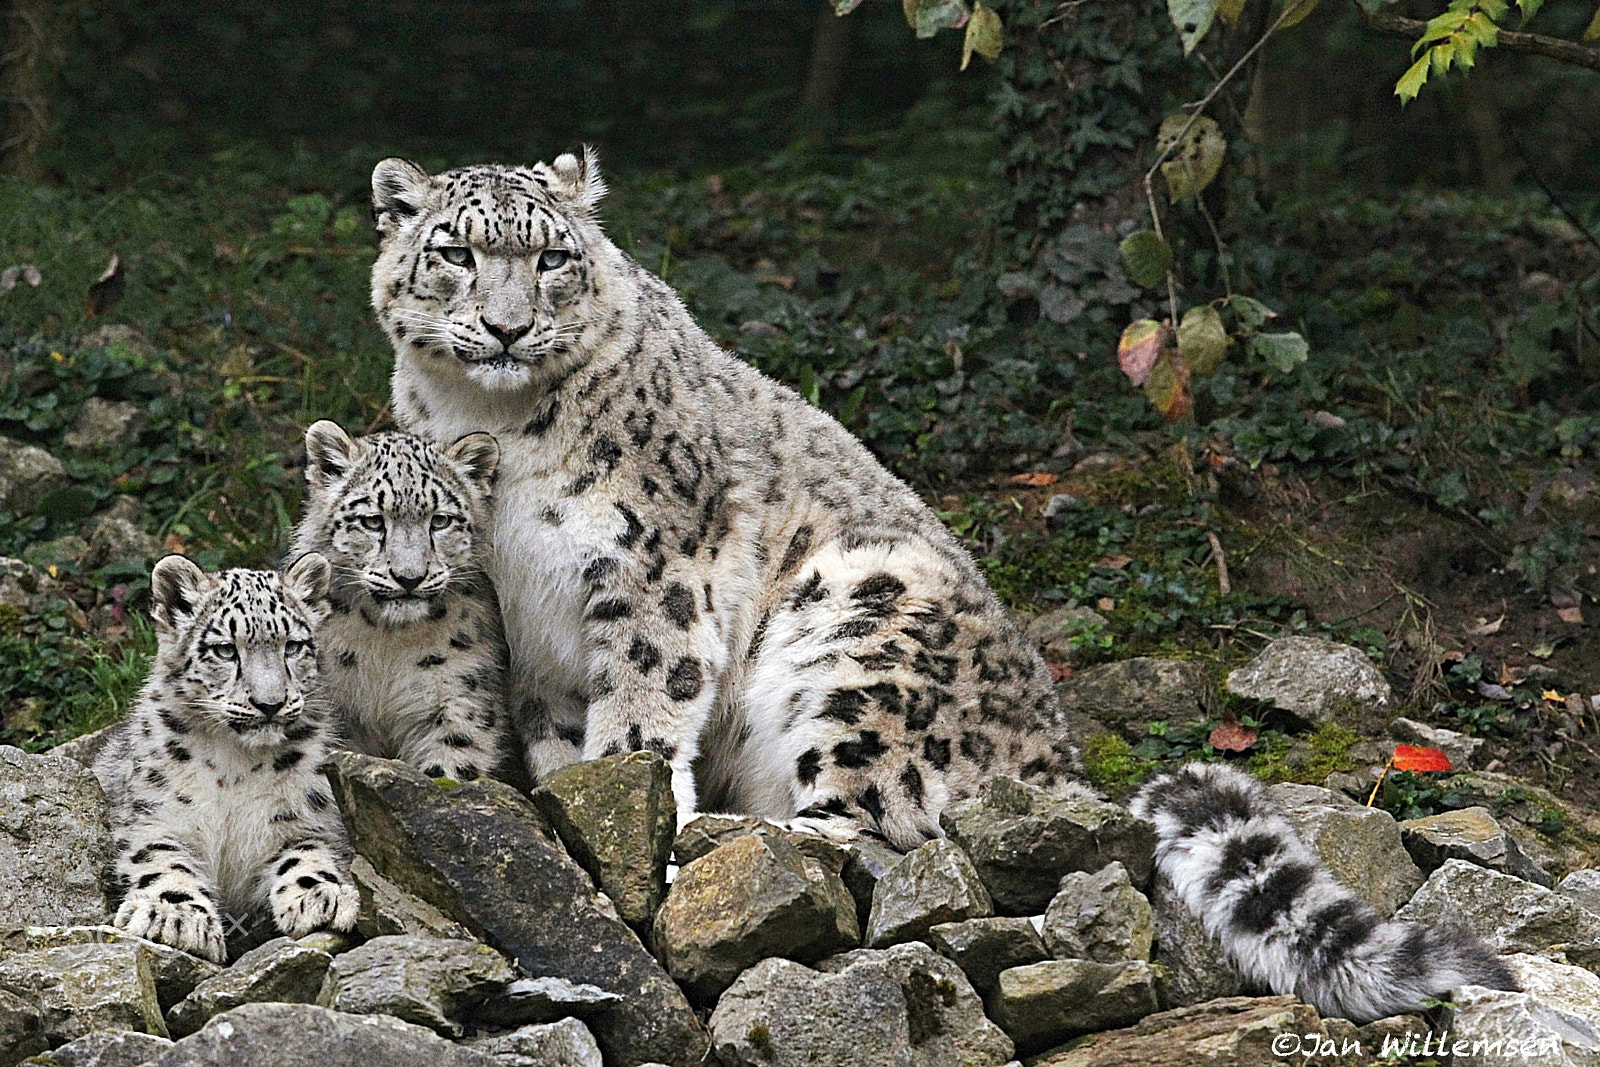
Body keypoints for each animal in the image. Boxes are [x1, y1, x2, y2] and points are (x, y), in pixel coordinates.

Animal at [93, 556, 360, 966]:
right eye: (224, 650)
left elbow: (307, 854)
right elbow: (162, 861)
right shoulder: (155, 817)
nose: (270, 703)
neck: (235, 764)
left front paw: (320, 896)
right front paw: (175, 916)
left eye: (293, 646)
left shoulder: (309, 815)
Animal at [289, 419, 512, 783]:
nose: (409, 577)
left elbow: (451, 764)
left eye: (440, 520)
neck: (385, 644)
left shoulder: (458, 697)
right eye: (372, 520)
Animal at [368, 147, 1516, 1017]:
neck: (495, 429)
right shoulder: (533, 629)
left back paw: (737, 842)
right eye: (456, 253)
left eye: (554, 257)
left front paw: (625, 804)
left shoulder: (656, 572)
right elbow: (565, 734)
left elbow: (646, 711)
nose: (508, 327)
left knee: (879, 831)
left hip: (862, 634)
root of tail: (1058, 765)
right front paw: (567, 813)